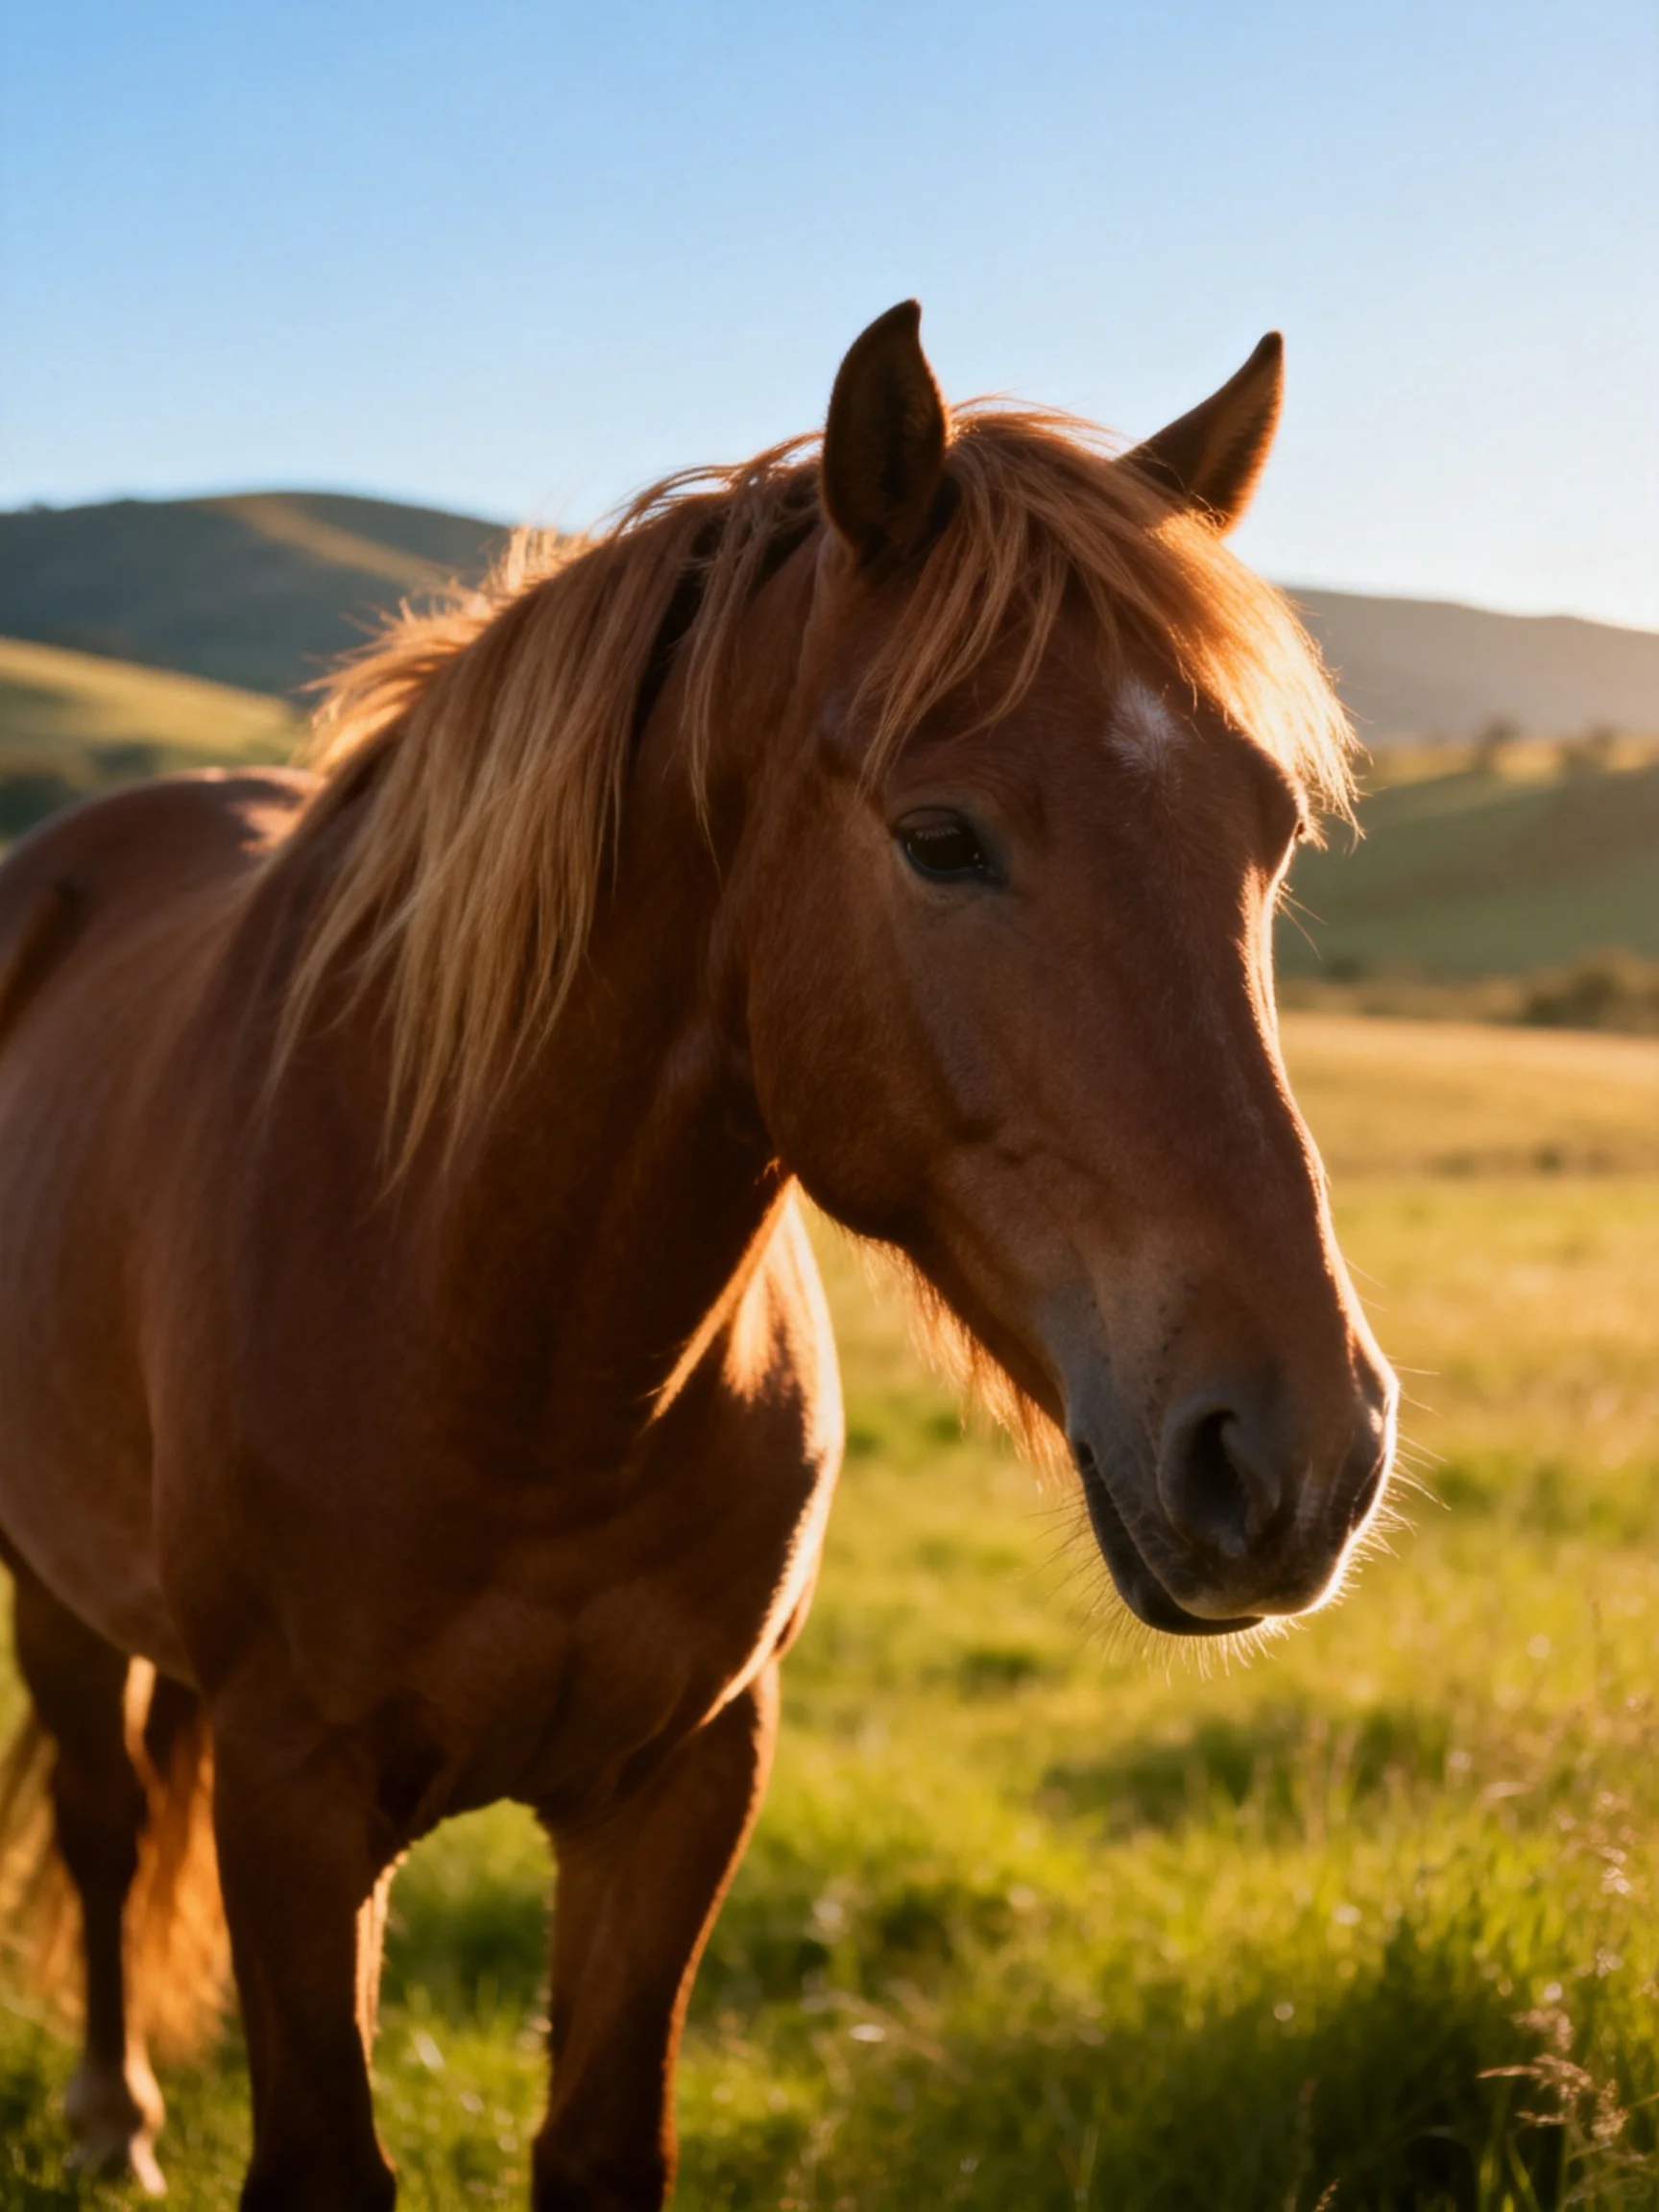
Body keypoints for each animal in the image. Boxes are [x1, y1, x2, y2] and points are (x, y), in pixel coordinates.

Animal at [0, 302, 1395, 2208]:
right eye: (939, 837)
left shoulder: (683, 1783)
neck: (509, 1346)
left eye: (1268, 842)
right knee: (100, 1814)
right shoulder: (292, 1799)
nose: (1299, 1455)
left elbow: (602, 2141)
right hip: (56, 1591)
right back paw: (109, 2110)